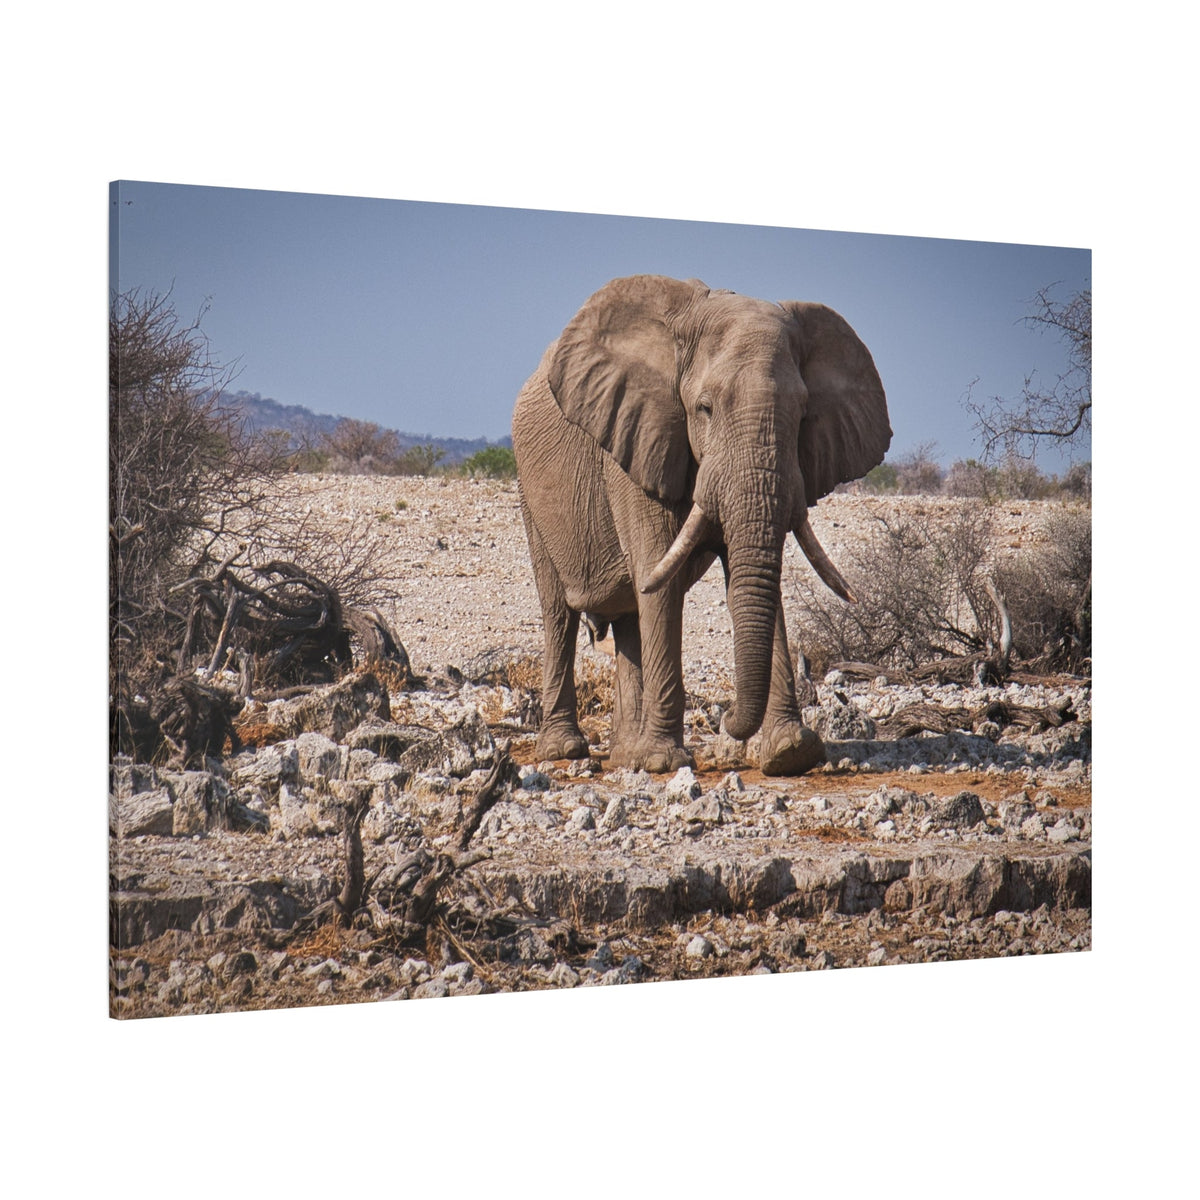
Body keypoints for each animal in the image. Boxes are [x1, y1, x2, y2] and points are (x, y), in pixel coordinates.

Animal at [512, 274, 891, 775]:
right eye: (705, 408)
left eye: (803, 415)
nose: (726, 720)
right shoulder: (637, 440)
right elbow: (660, 576)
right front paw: (664, 762)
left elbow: (751, 579)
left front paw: (791, 753)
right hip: (529, 490)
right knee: (560, 612)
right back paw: (565, 750)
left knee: (630, 615)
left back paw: (625, 755)